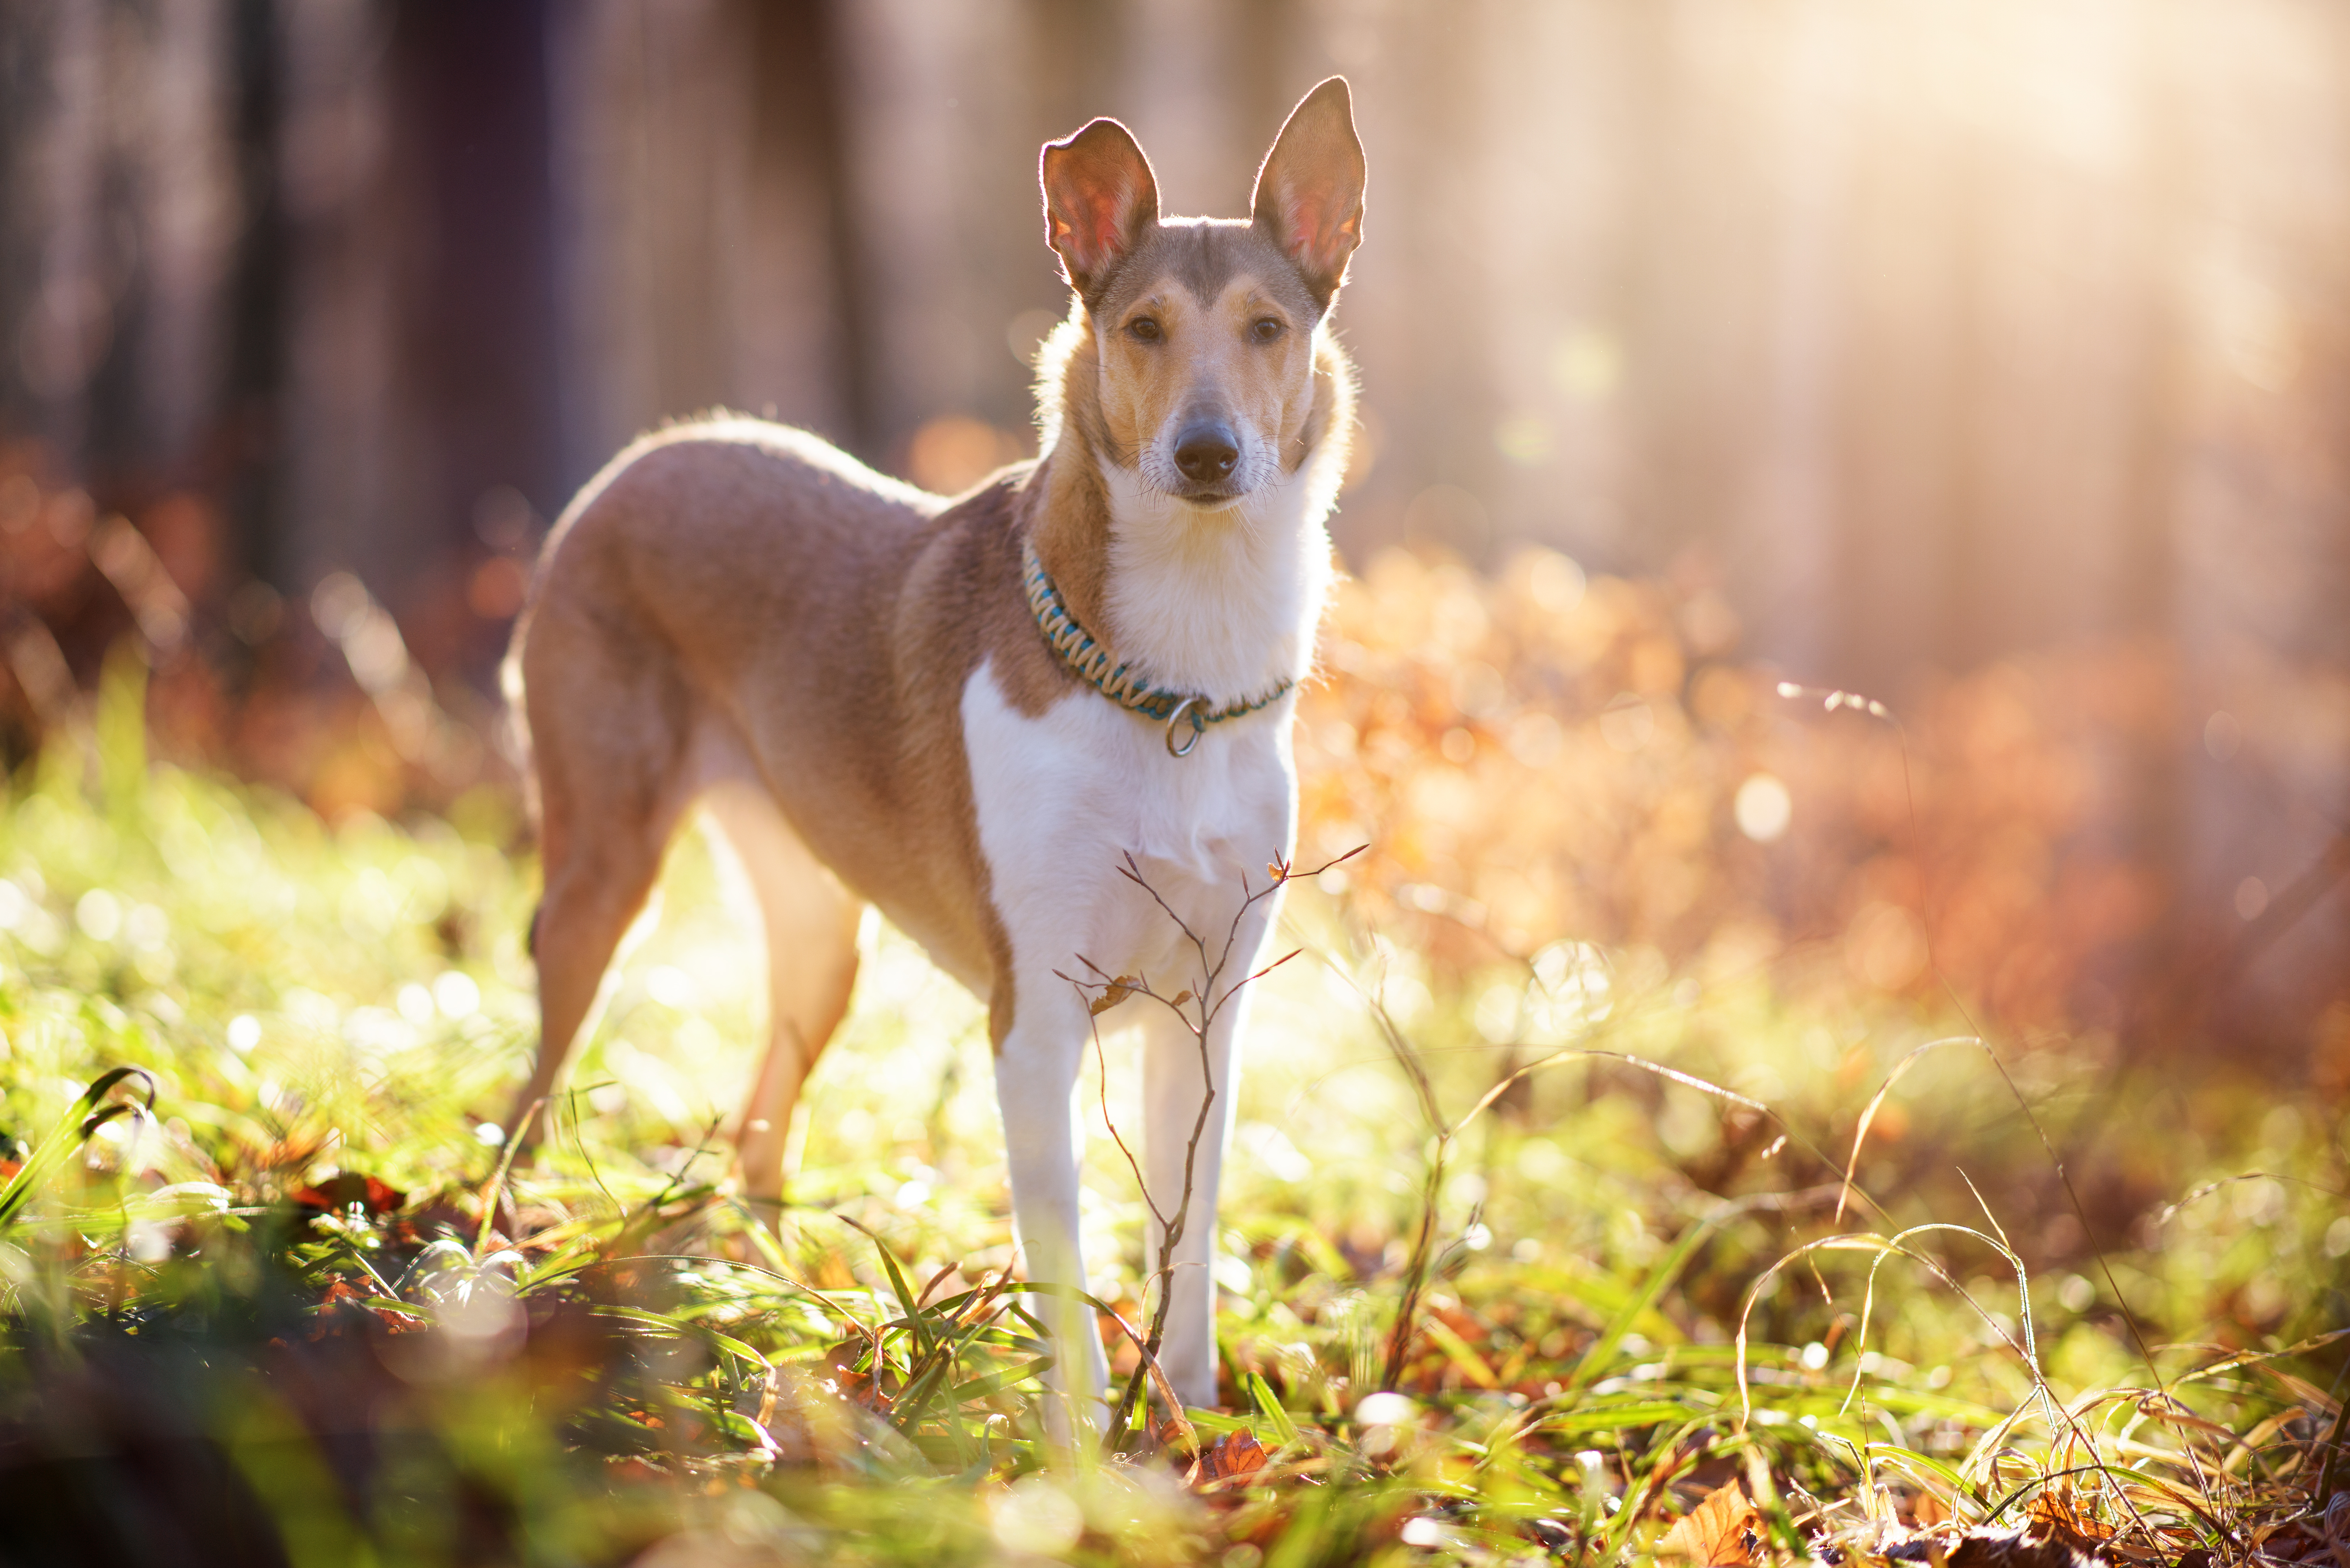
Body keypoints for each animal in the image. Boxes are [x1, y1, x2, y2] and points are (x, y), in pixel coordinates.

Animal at [505, 76, 1372, 1420]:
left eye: (1267, 328)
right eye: (1143, 328)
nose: (1206, 453)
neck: (1175, 689)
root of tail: (645, 455)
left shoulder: (1207, 1014)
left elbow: (1186, 1245)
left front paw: (1186, 1423)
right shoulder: (1036, 1016)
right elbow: (1064, 1258)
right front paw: (1082, 1442)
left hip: (821, 941)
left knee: (758, 1129)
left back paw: (774, 1312)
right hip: (605, 870)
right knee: (533, 1088)